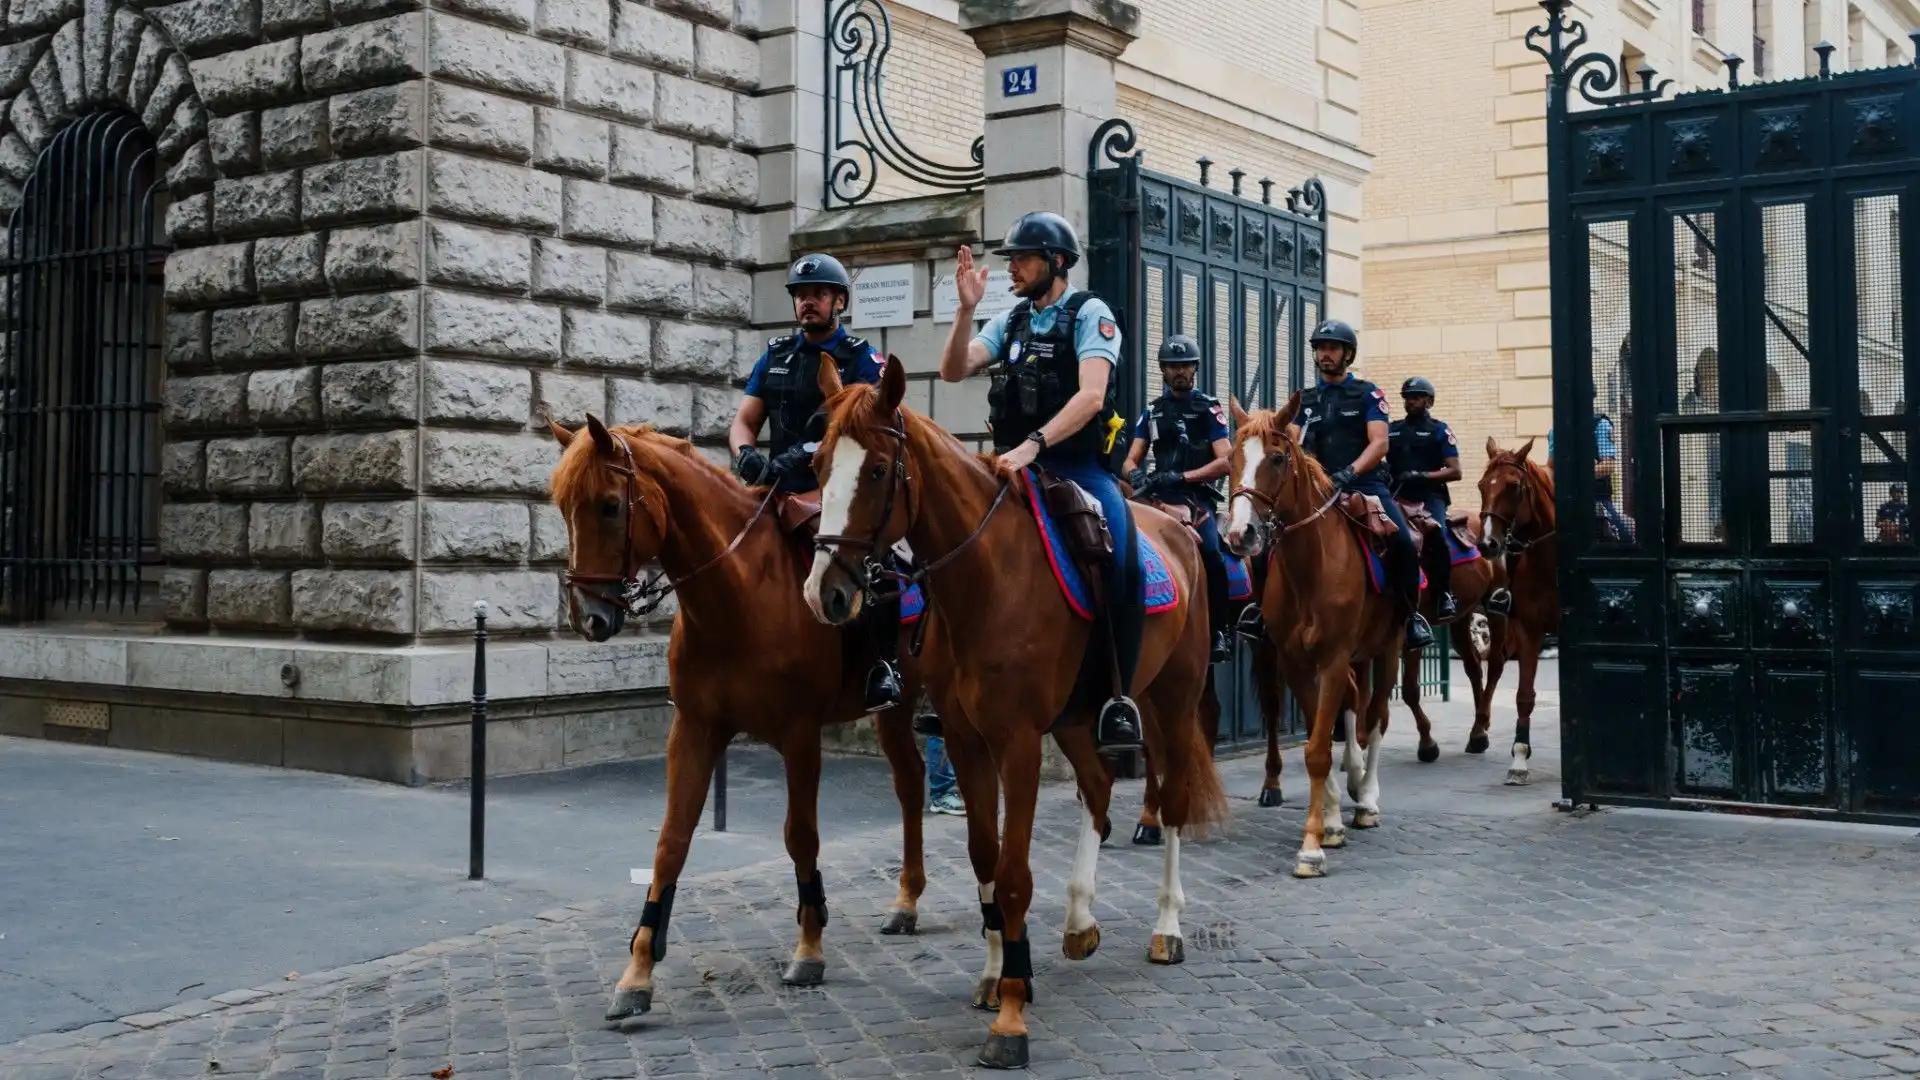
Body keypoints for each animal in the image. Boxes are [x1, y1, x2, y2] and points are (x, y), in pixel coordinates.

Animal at [549, 417, 952, 1022]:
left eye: (610, 506)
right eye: (561, 507)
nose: (588, 617)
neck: (738, 594)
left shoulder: (800, 735)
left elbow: (801, 836)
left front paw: (809, 946)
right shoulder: (694, 729)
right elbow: (670, 844)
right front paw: (637, 973)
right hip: (895, 710)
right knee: (909, 784)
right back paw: (906, 901)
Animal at [798, 357, 1221, 1060]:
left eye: (879, 471)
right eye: (819, 464)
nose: (823, 591)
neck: (986, 579)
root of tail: (1176, 525)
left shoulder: (1017, 744)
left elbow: (1016, 872)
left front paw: (1013, 1017)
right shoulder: (967, 741)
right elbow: (984, 859)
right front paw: (999, 975)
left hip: (1171, 701)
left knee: (1173, 802)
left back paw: (1167, 926)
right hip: (1079, 717)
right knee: (1098, 787)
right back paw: (1079, 918)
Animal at [1228, 395, 1413, 876]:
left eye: (1277, 458)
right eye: (1231, 458)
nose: (1239, 534)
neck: (1311, 566)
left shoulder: (1330, 660)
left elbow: (1317, 748)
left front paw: (1311, 845)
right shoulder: (1295, 663)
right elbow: (1319, 741)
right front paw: (1328, 822)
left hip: (1388, 650)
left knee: (1377, 716)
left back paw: (1367, 799)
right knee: (1354, 704)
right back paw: (1353, 782)